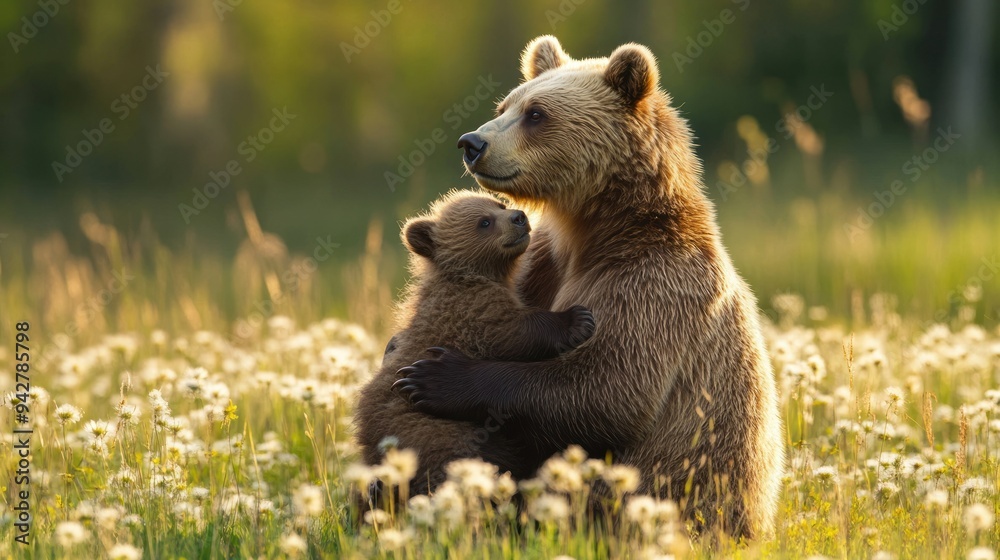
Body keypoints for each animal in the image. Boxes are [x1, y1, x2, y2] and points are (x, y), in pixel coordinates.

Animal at [354, 189, 596, 498]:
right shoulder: (473, 309)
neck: (476, 275)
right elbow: (516, 330)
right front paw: (577, 320)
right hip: (436, 430)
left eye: (499, 204)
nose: (519, 217)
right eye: (484, 222)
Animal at [393, 37, 784, 539]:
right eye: (504, 105)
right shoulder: (542, 263)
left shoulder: (653, 285)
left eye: (536, 113)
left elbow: (608, 388)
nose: (472, 143)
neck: (593, 231)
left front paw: (437, 375)